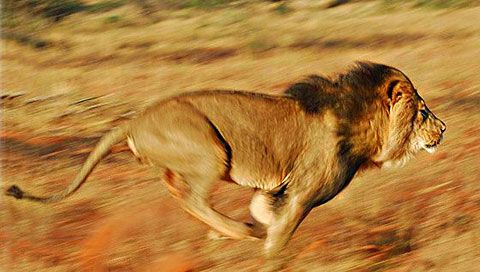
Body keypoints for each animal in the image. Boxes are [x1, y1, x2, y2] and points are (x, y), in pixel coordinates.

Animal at [4, 62, 446, 270]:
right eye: (423, 112)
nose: (443, 128)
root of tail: (134, 120)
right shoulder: (304, 192)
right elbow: (282, 232)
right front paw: (270, 255)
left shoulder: (274, 189)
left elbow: (265, 212)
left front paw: (259, 233)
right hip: (211, 151)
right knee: (191, 197)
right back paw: (236, 232)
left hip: (194, 157)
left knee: (174, 186)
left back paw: (230, 231)